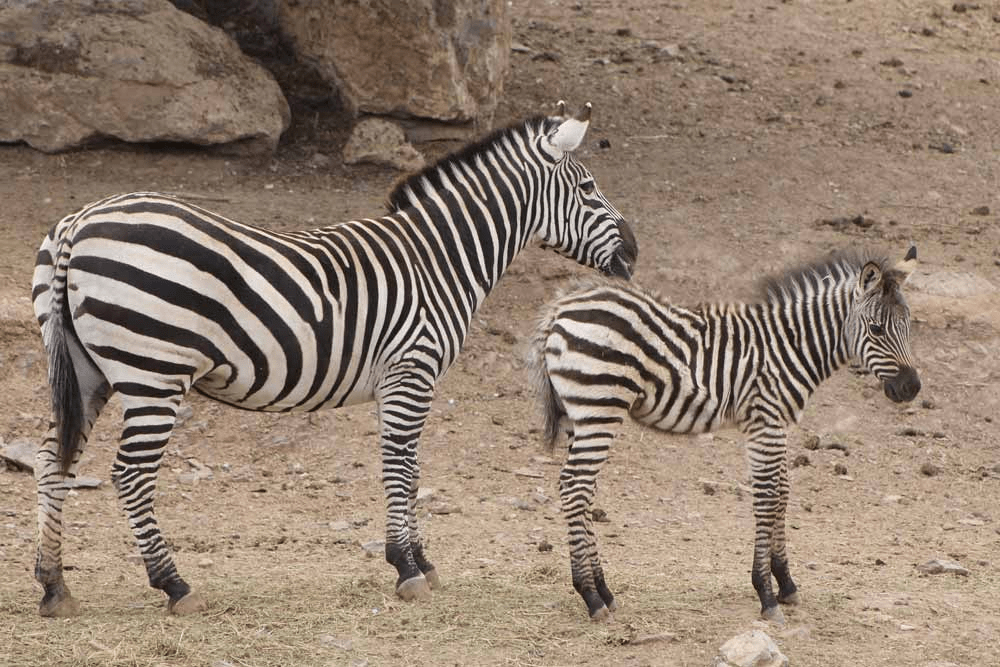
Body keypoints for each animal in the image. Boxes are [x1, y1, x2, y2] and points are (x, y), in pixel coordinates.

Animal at [30, 102, 638, 617]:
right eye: (588, 188)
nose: (634, 253)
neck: (439, 258)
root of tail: (79, 222)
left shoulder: (398, 381)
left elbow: (410, 470)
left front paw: (419, 561)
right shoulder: (413, 370)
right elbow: (401, 466)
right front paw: (407, 569)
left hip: (88, 372)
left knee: (52, 460)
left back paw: (54, 585)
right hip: (154, 371)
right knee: (130, 474)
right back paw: (175, 585)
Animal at [529, 247, 920, 622]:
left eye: (908, 326)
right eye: (877, 330)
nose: (912, 388)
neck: (791, 347)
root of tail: (561, 310)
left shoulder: (777, 423)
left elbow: (783, 492)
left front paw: (786, 583)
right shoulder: (764, 421)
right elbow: (768, 497)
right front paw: (766, 593)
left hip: (580, 414)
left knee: (579, 488)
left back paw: (603, 591)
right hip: (601, 406)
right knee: (576, 487)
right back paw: (591, 596)